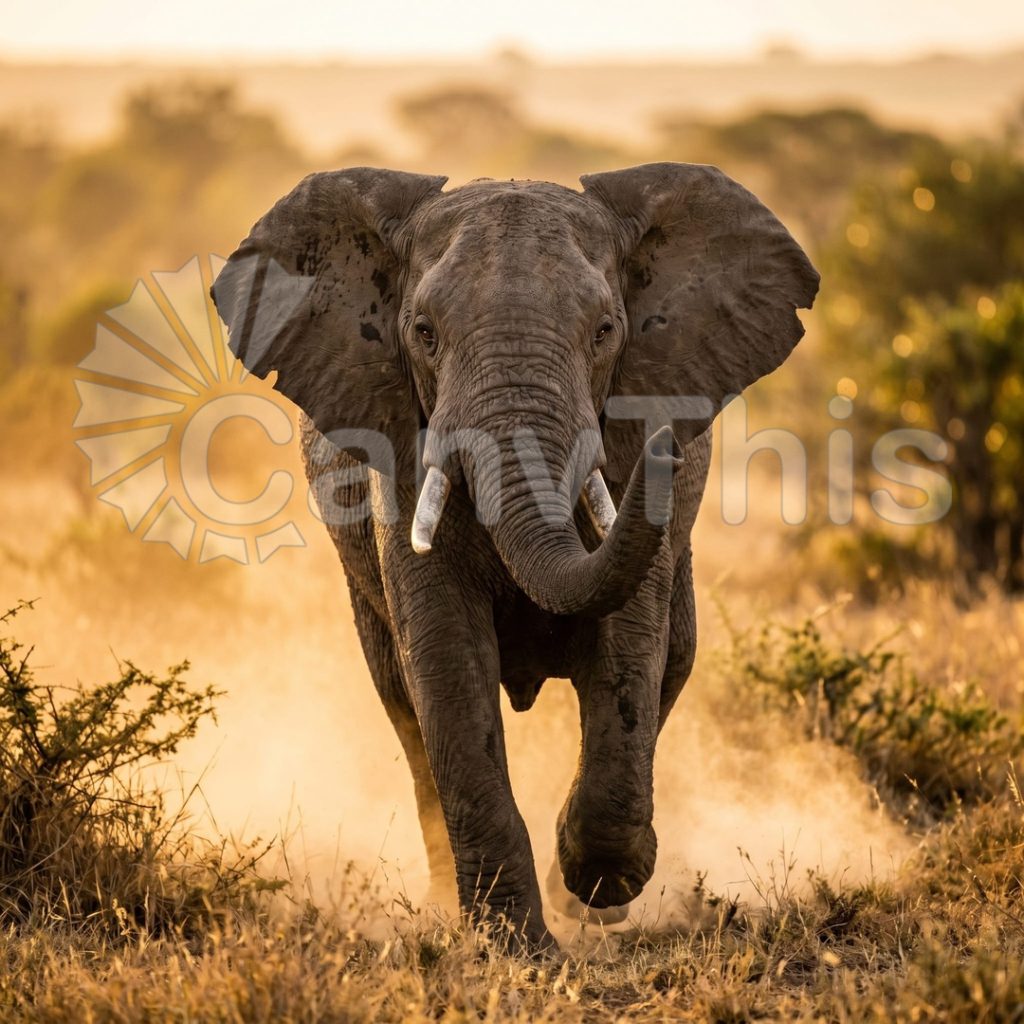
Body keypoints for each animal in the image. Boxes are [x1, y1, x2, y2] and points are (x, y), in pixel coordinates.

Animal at [211, 162, 818, 949]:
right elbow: (447, 663)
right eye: (423, 334)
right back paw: (448, 902)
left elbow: (628, 650)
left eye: (605, 331)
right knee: (401, 704)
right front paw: (518, 948)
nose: (665, 449)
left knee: (673, 661)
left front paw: (593, 883)